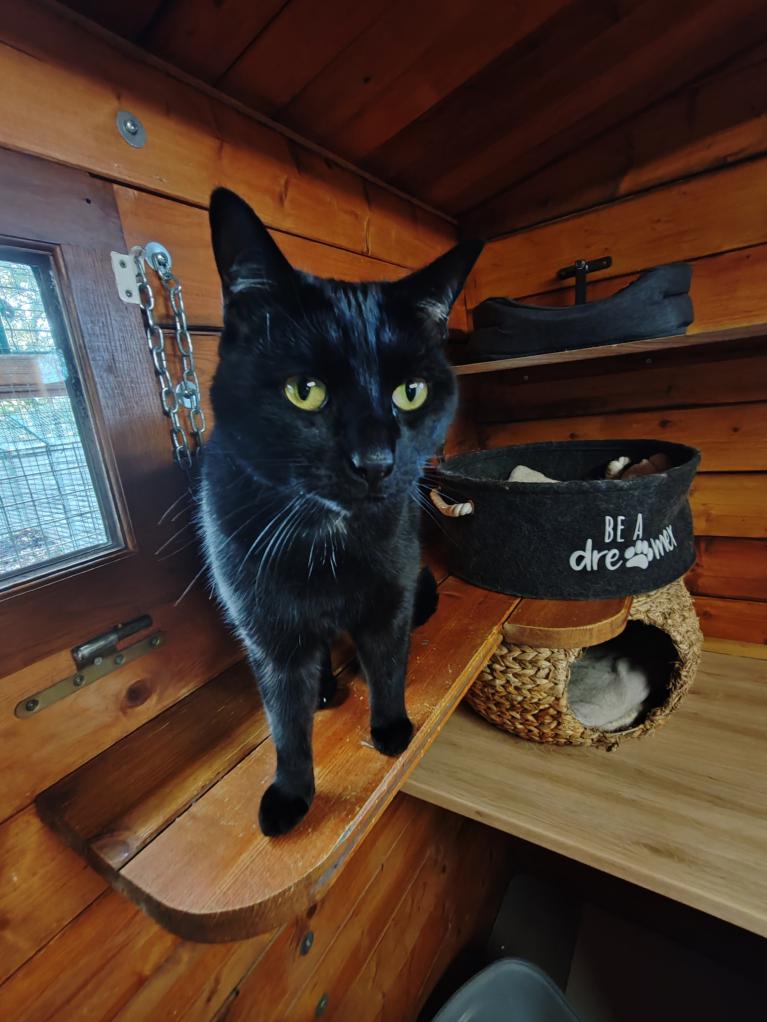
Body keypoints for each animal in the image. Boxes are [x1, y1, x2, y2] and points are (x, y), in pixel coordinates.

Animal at [200, 188, 482, 836]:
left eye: (411, 392)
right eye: (304, 391)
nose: (376, 462)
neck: (325, 539)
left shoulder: (391, 597)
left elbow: (388, 667)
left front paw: (391, 729)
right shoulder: (266, 632)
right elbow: (284, 721)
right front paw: (291, 794)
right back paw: (324, 688)